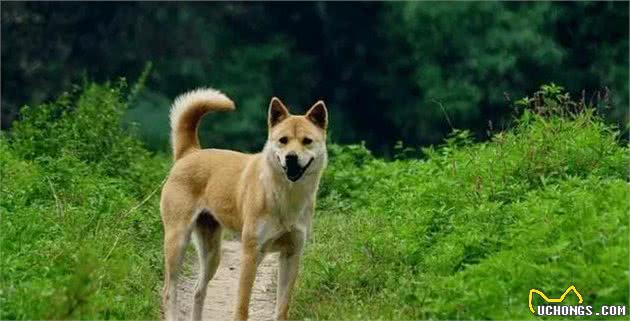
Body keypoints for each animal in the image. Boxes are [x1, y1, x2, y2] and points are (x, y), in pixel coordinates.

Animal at [160, 88, 328, 320]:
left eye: (307, 141)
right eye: (283, 140)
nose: (291, 157)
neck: (284, 195)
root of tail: (190, 152)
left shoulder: (291, 255)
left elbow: (282, 308)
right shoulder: (250, 254)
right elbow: (241, 307)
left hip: (212, 253)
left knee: (198, 290)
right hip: (177, 241)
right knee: (169, 290)